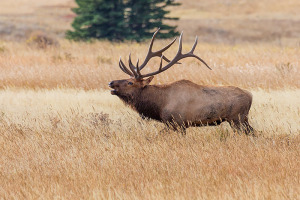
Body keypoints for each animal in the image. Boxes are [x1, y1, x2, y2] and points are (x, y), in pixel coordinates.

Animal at [108, 28, 253, 134]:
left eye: (130, 83)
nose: (111, 83)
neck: (160, 104)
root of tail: (250, 95)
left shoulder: (178, 123)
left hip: (237, 118)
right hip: (243, 119)